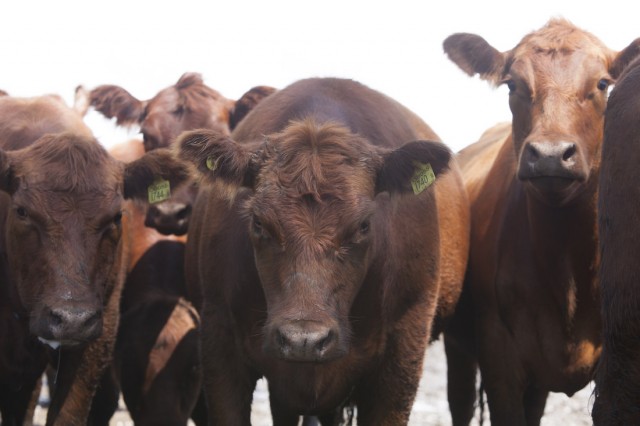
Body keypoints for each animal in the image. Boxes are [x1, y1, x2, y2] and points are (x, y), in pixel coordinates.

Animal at [442, 17, 640, 426]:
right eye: (512, 84)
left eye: (602, 83)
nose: (550, 154)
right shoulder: (499, 358)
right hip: (459, 346)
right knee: (461, 402)